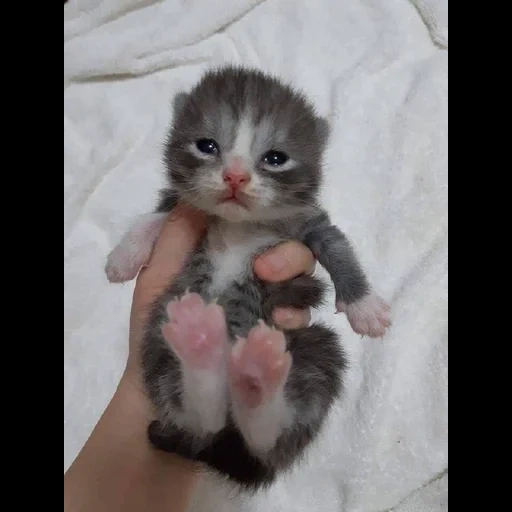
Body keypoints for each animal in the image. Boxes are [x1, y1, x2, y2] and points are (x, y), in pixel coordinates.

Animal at [105, 66, 392, 490]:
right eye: (206, 145)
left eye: (275, 158)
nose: (235, 176)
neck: (238, 226)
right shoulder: (180, 207)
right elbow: (152, 218)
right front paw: (123, 257)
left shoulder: (307, 226)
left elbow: (338, 249)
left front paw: (365, 308)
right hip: (156, 343)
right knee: (201, 418)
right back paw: (203, 347)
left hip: (315, 347)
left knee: (265, 435)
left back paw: (255, 380)